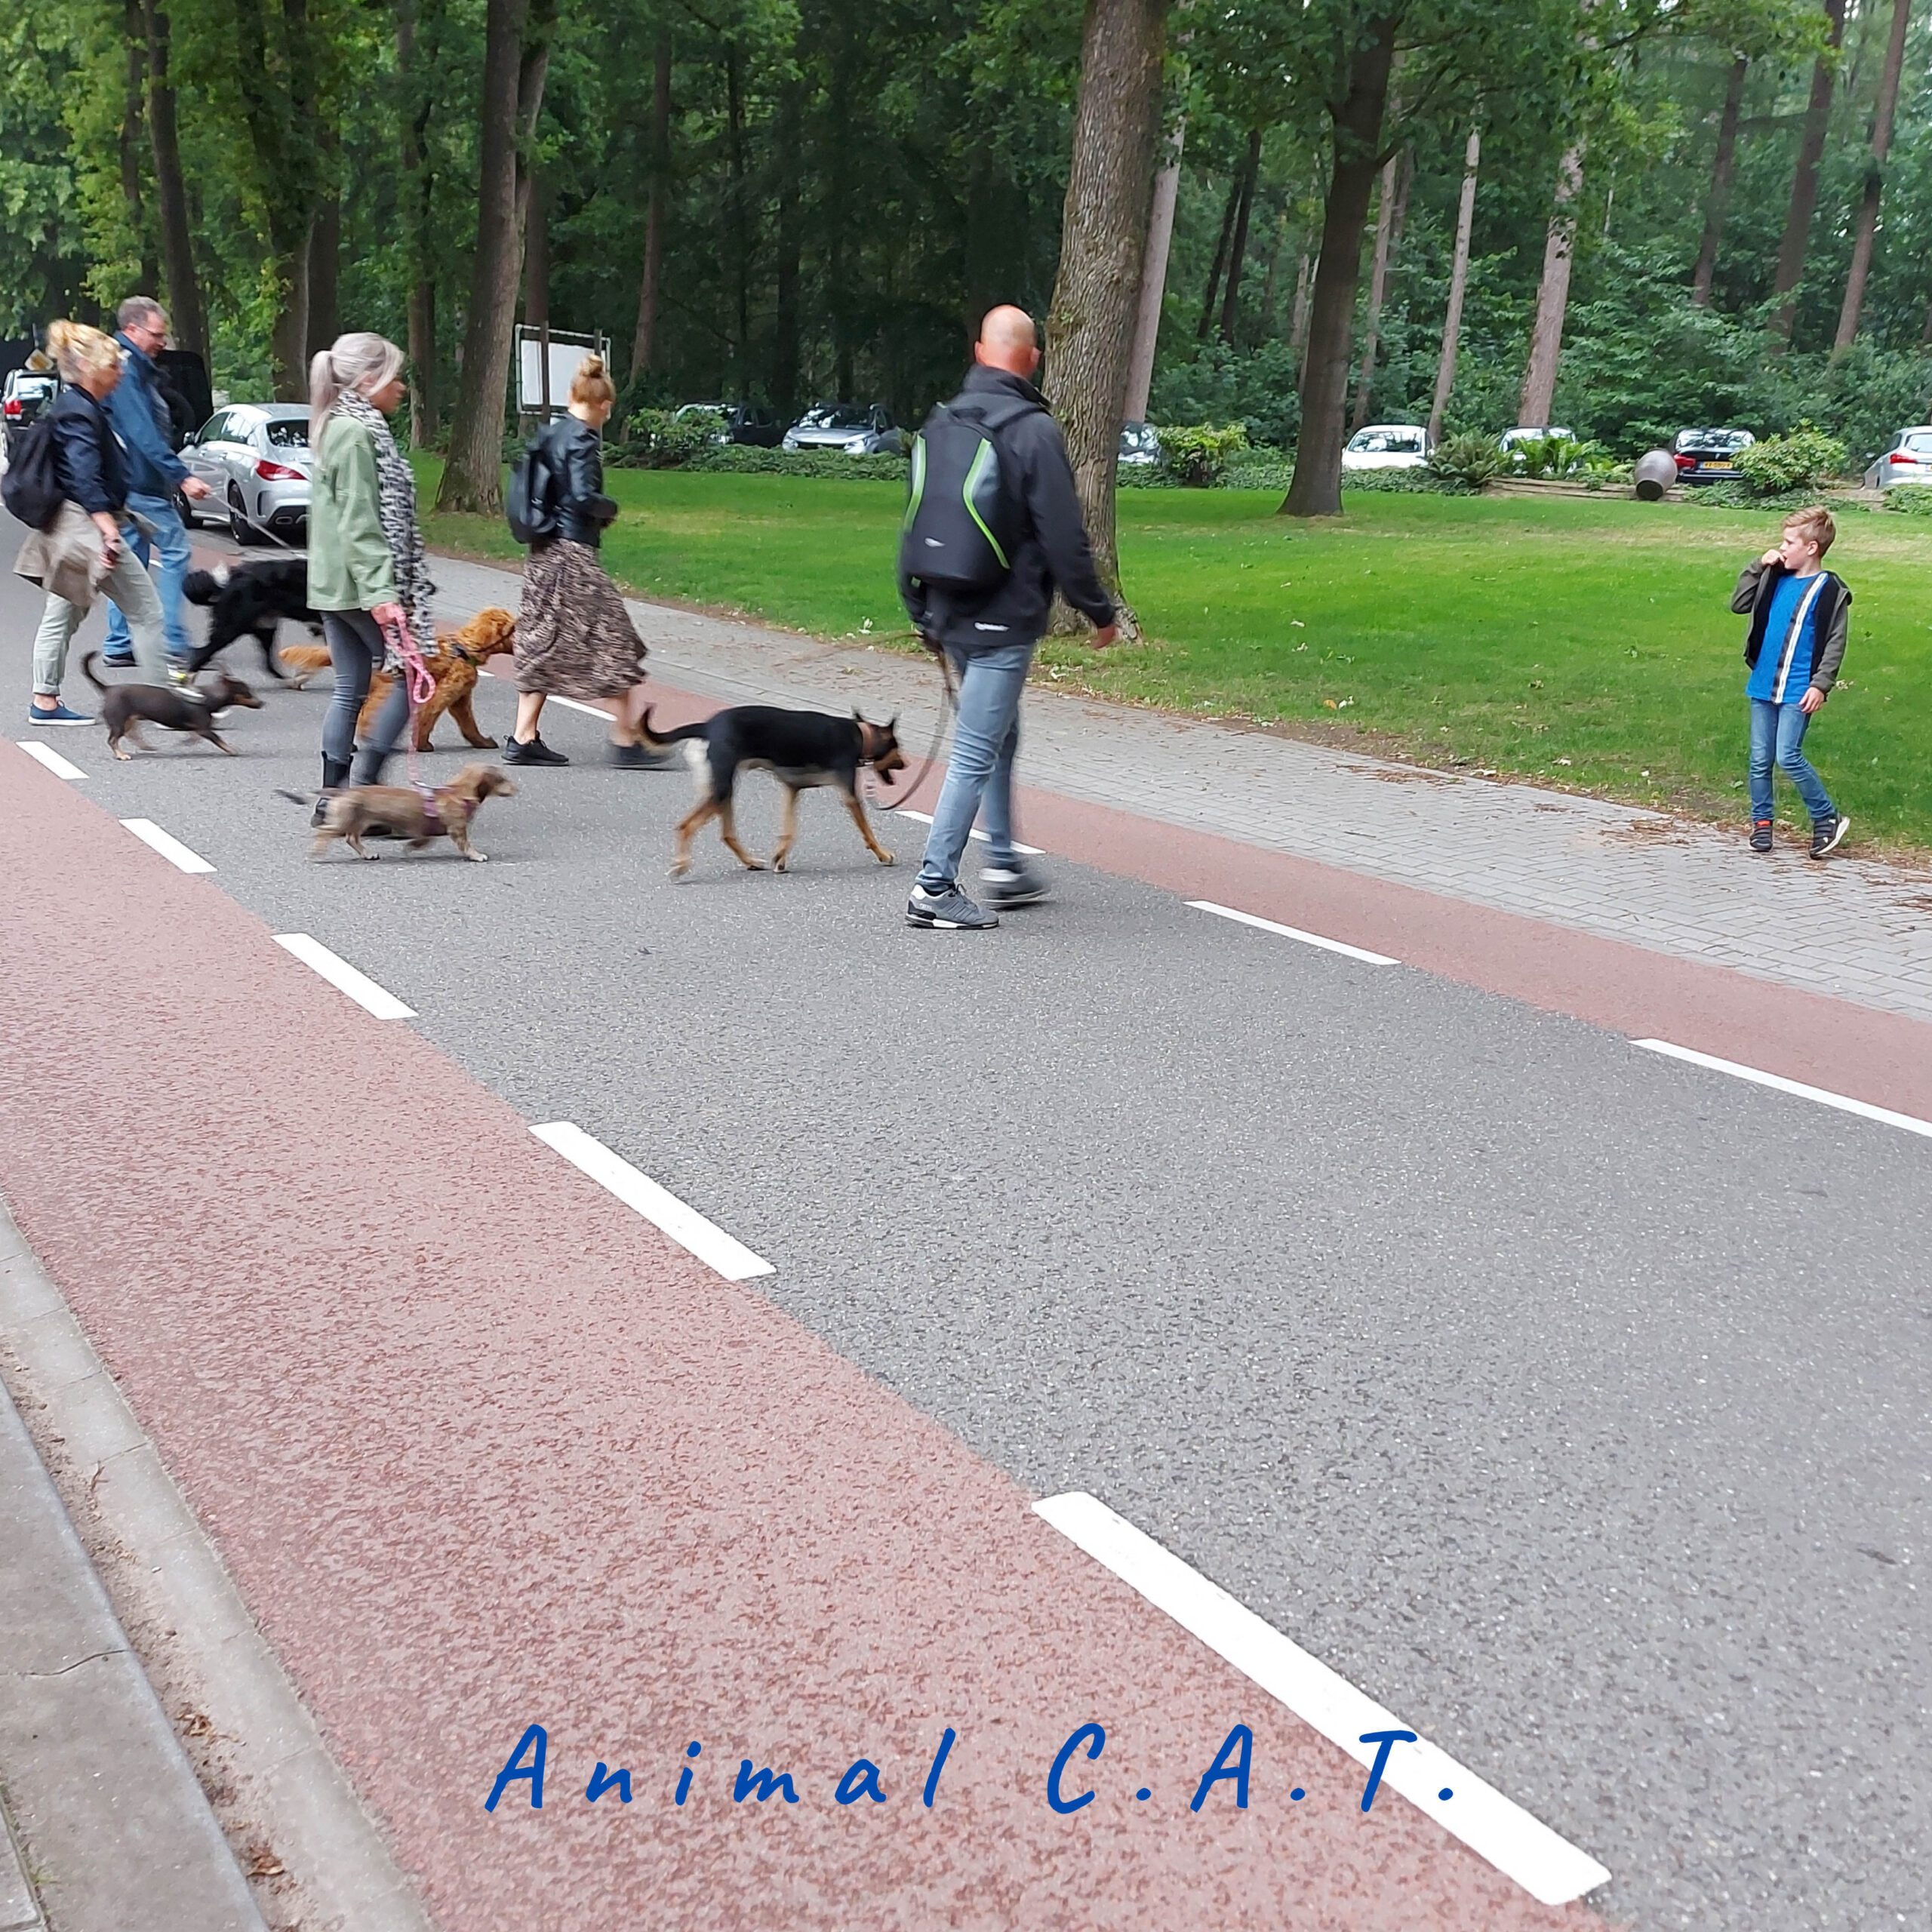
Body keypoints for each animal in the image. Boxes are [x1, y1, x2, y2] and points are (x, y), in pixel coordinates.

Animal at [82, 653, 263, 760]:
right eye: (247, 693)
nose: (262, 703)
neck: (207, 697)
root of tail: (108, 689)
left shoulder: (199, 729)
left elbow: (195, 737)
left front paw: (187, 742)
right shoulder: (205, 729)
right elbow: (219, 739)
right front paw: (231, 750)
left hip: (129, 720)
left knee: (130, 734)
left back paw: (145, 746)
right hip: (119, 721)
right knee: (112, 740)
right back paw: (122, 755)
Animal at [277, 607, 515, 752]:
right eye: (513, 628)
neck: (464, 648)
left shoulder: (460, 700)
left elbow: (469, 724)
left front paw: (482, 742)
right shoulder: (441, 695)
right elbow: (427, 720)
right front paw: (422, 745)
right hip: (387, 688)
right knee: (365, 716)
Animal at [308, 763, 517, 862]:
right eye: (502, 779)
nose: (516, 788)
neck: (458, 792)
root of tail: (344, 792)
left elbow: (425, 839)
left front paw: (411, 846)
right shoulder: (457, 829)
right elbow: (465, 845)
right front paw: (476, 855)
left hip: (359, 823)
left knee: (352, 839)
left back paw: (368, 854)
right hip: (343, 822)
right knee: (323, 832)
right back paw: (316, 852)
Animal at [638, 704, 906, 877]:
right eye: (898, 747)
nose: (905, 764)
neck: (860, 734)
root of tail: (707, 726)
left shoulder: (792, 788)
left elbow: (788, 832)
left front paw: (780, 858)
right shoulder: (849, 795)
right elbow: (868, 832)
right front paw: (883, 855)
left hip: (721, 789)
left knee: (727, 834)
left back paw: (751, 862)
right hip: (721, 789)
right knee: (686, 826)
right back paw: (682, 864)